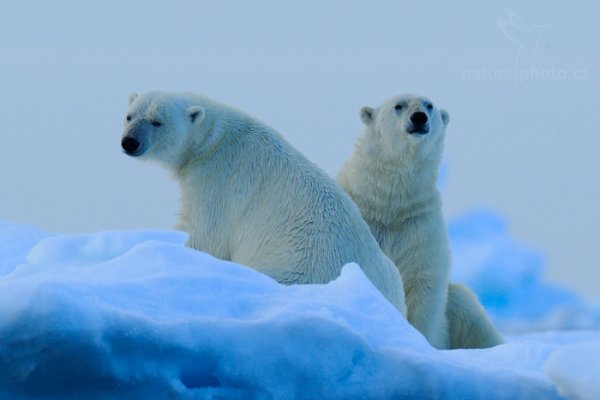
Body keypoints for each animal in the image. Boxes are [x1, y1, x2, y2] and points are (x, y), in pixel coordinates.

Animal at [119, 90, 406, 316]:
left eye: (157, 121)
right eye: (130, 115)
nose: (129, 142)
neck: (214, 140)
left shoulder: (217, 181)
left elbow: (205, 235)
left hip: (296, 264)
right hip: (390, 276)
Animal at [338, 95, 502, 348]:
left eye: (429, 105)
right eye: (398, 106)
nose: (419, 118)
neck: (389, 203)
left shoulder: (419, 225)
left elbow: (423, 279)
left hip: (456, 307)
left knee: (470, 313)